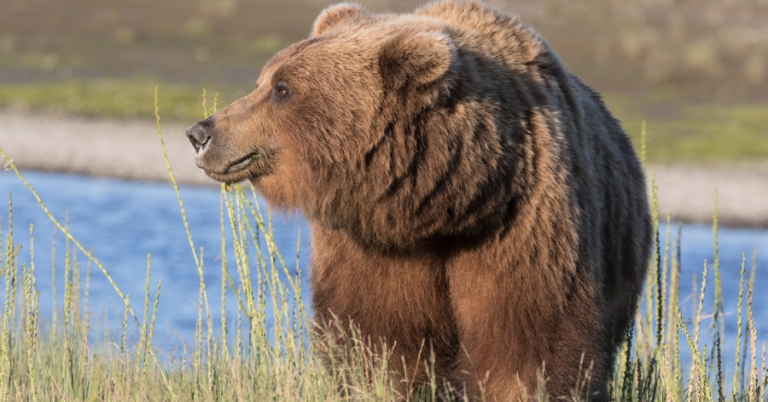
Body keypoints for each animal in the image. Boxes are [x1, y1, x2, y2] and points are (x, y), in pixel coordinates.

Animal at [186, 1, 652, 400]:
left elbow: (528, 348)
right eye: (264, 81)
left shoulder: (524, 229)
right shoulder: (372, 252)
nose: (200, 132)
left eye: (282, 89)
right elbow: (377, 345)